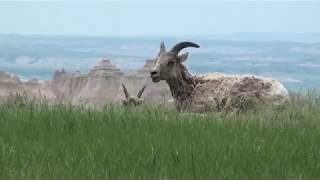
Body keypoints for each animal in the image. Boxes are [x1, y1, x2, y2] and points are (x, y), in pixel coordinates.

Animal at [150, 41, 290, 112]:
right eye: (157, 59)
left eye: (170, 62)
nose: (153, 73)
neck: (191, 86)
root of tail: (283, 94)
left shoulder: (208, 103)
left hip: (236, 96)